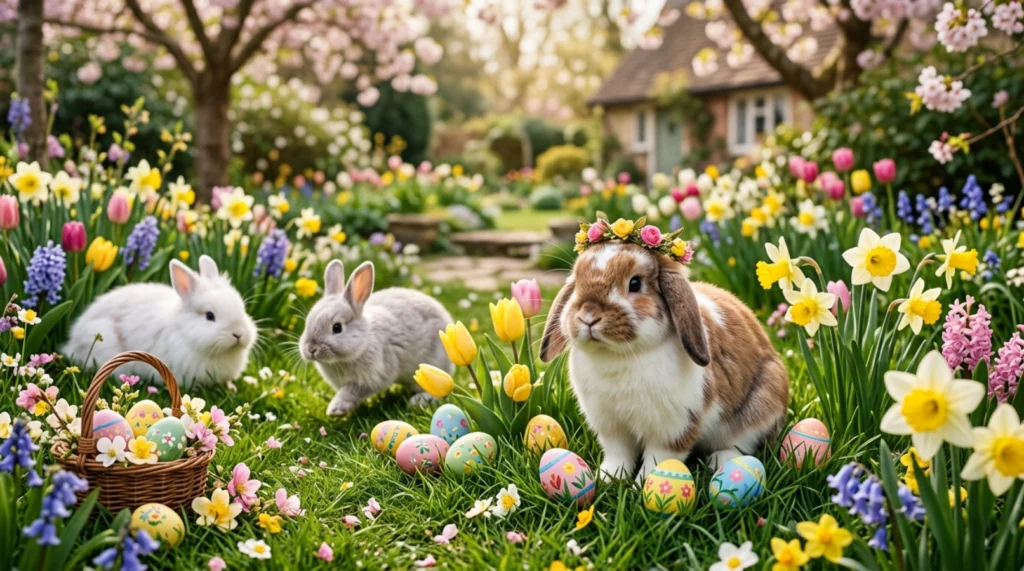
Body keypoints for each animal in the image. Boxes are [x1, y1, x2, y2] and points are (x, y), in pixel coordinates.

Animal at [299, 260, 455, 417]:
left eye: (337, 327)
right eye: (307, 323)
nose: (310, 349)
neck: (363, 343)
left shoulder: (372, 377)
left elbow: (350, 392)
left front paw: (335, 409)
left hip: (431, 368)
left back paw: (418, 401)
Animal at [540, 241, 789, 483]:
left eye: (635, 283)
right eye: (577, 283)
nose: (588, 315)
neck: (617, 355)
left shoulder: (673, 428)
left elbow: (658, 458)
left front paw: (643, 485)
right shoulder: (611, 426)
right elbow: (619, 454)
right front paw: (608, 478)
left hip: (761, 406)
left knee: (743, 443)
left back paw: (720, 460)